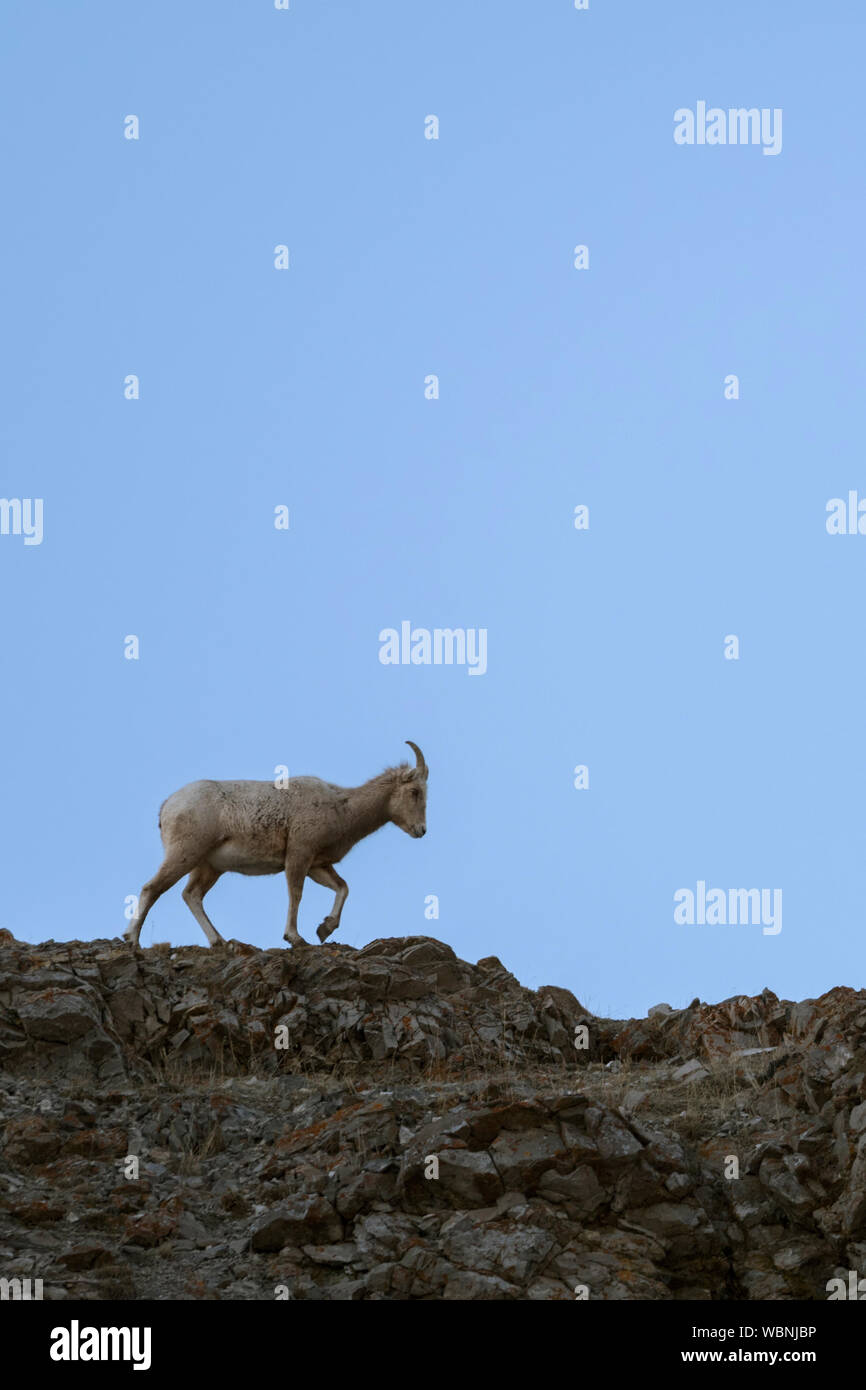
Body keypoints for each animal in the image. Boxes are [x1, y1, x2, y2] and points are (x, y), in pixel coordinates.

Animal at [122, 742, 428, 948]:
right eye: (415, 792)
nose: (421, 831)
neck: (341, 808)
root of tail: (168, 806)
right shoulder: (299, 856)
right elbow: (296, 894)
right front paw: (296, 938)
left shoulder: (317, 865)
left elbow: (343, 888)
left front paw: (324, 929)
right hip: (184, 854)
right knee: (152, 888)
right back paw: (132, 940)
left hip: (208, 867)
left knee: (191, 895)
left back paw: (219, 941)